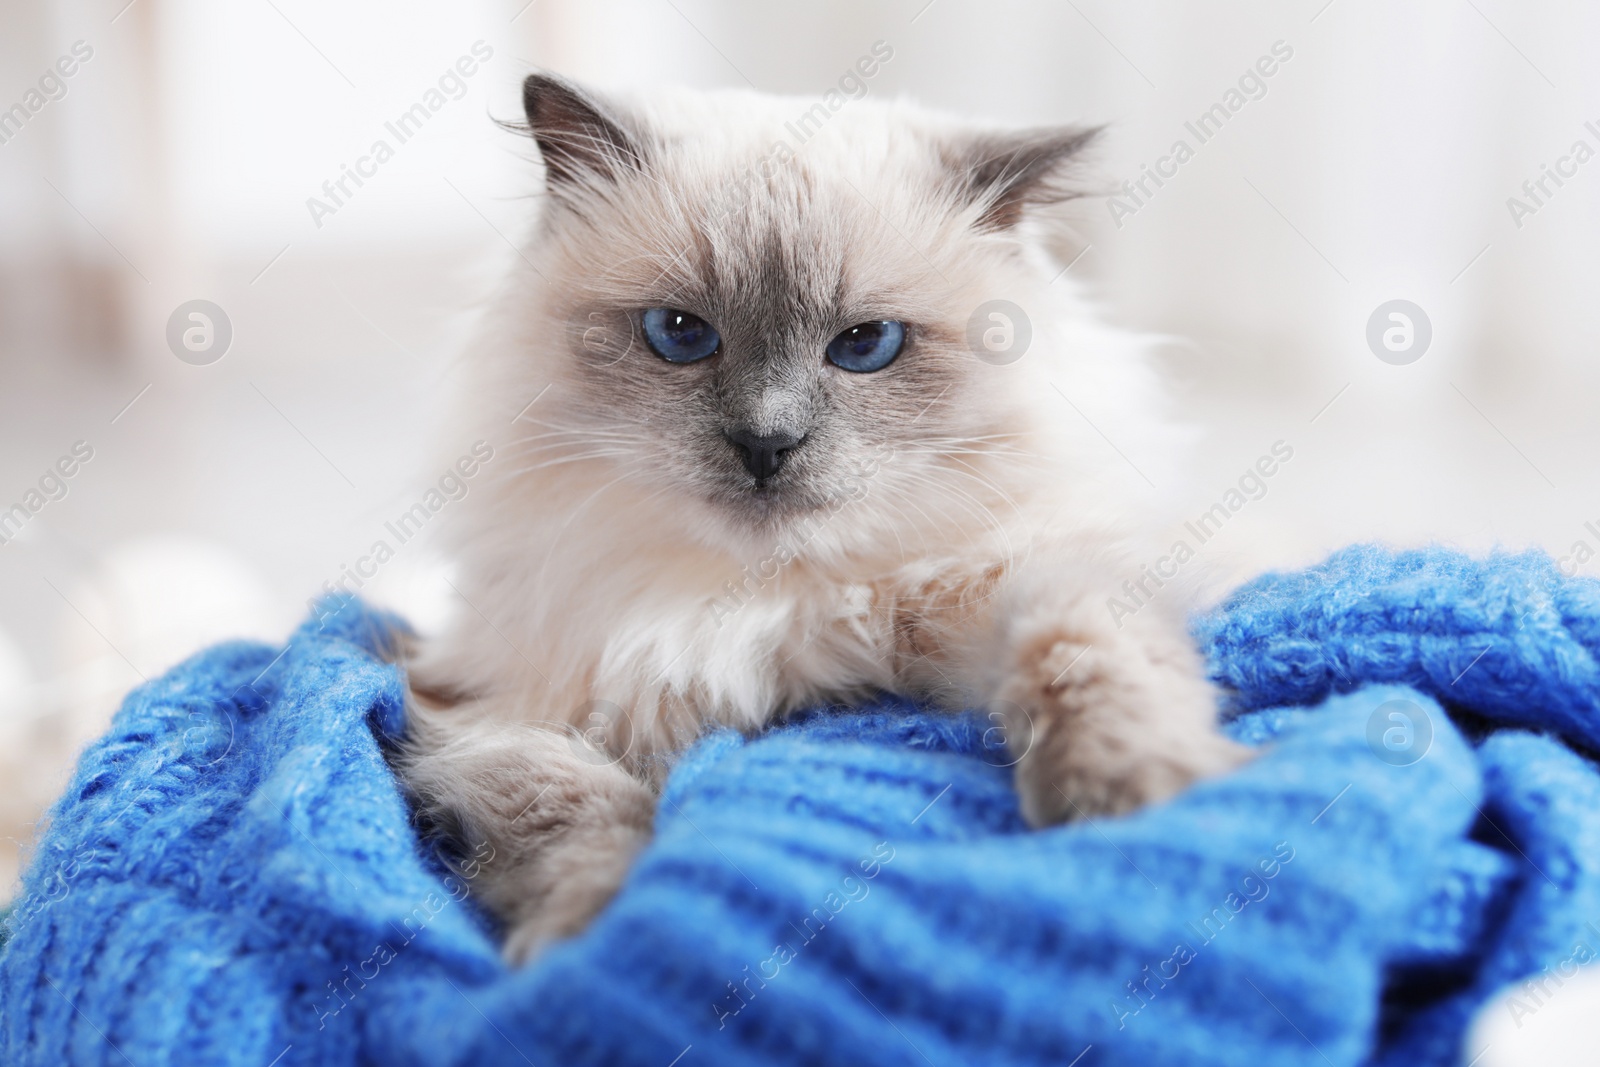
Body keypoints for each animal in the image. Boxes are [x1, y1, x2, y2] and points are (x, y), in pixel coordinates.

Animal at [396, 70, 1248, 966]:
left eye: (866, 344)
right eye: (680, 334)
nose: (765, 444)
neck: (770, 603)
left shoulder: (1020, 574)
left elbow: (1082, 656)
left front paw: (1132, 794)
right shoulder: (497, 711)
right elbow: (580, 817)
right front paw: (593, 934)